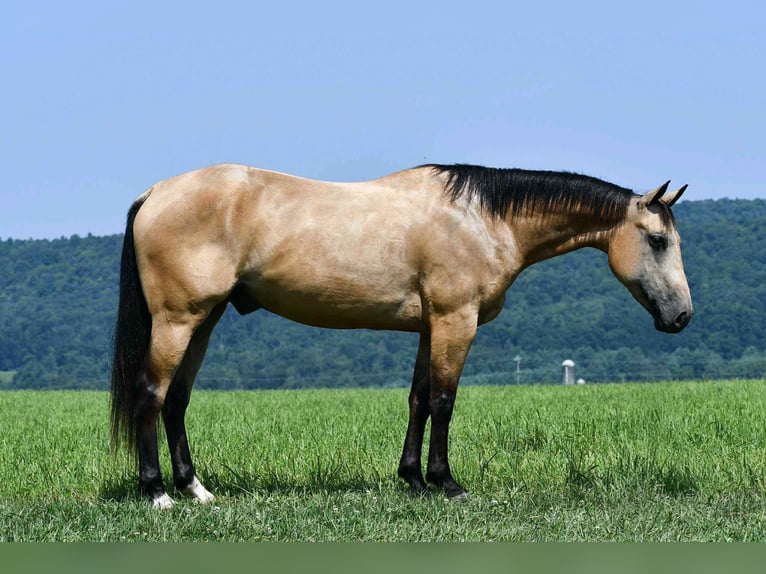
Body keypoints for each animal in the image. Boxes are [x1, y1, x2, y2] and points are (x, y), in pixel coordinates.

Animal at [111, 163, 693, 508]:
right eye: (658, 240)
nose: (682, 316)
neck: (482, 219)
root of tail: (155, 191)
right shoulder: (456, 320)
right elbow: (443, 401)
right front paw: (447, 483)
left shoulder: (429, 326)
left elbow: (417, 399)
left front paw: (412, 478)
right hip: (178, 320)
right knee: (151, 396)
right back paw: (158, 493)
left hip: (204, 321)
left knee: (176, 401)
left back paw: (196, 489)